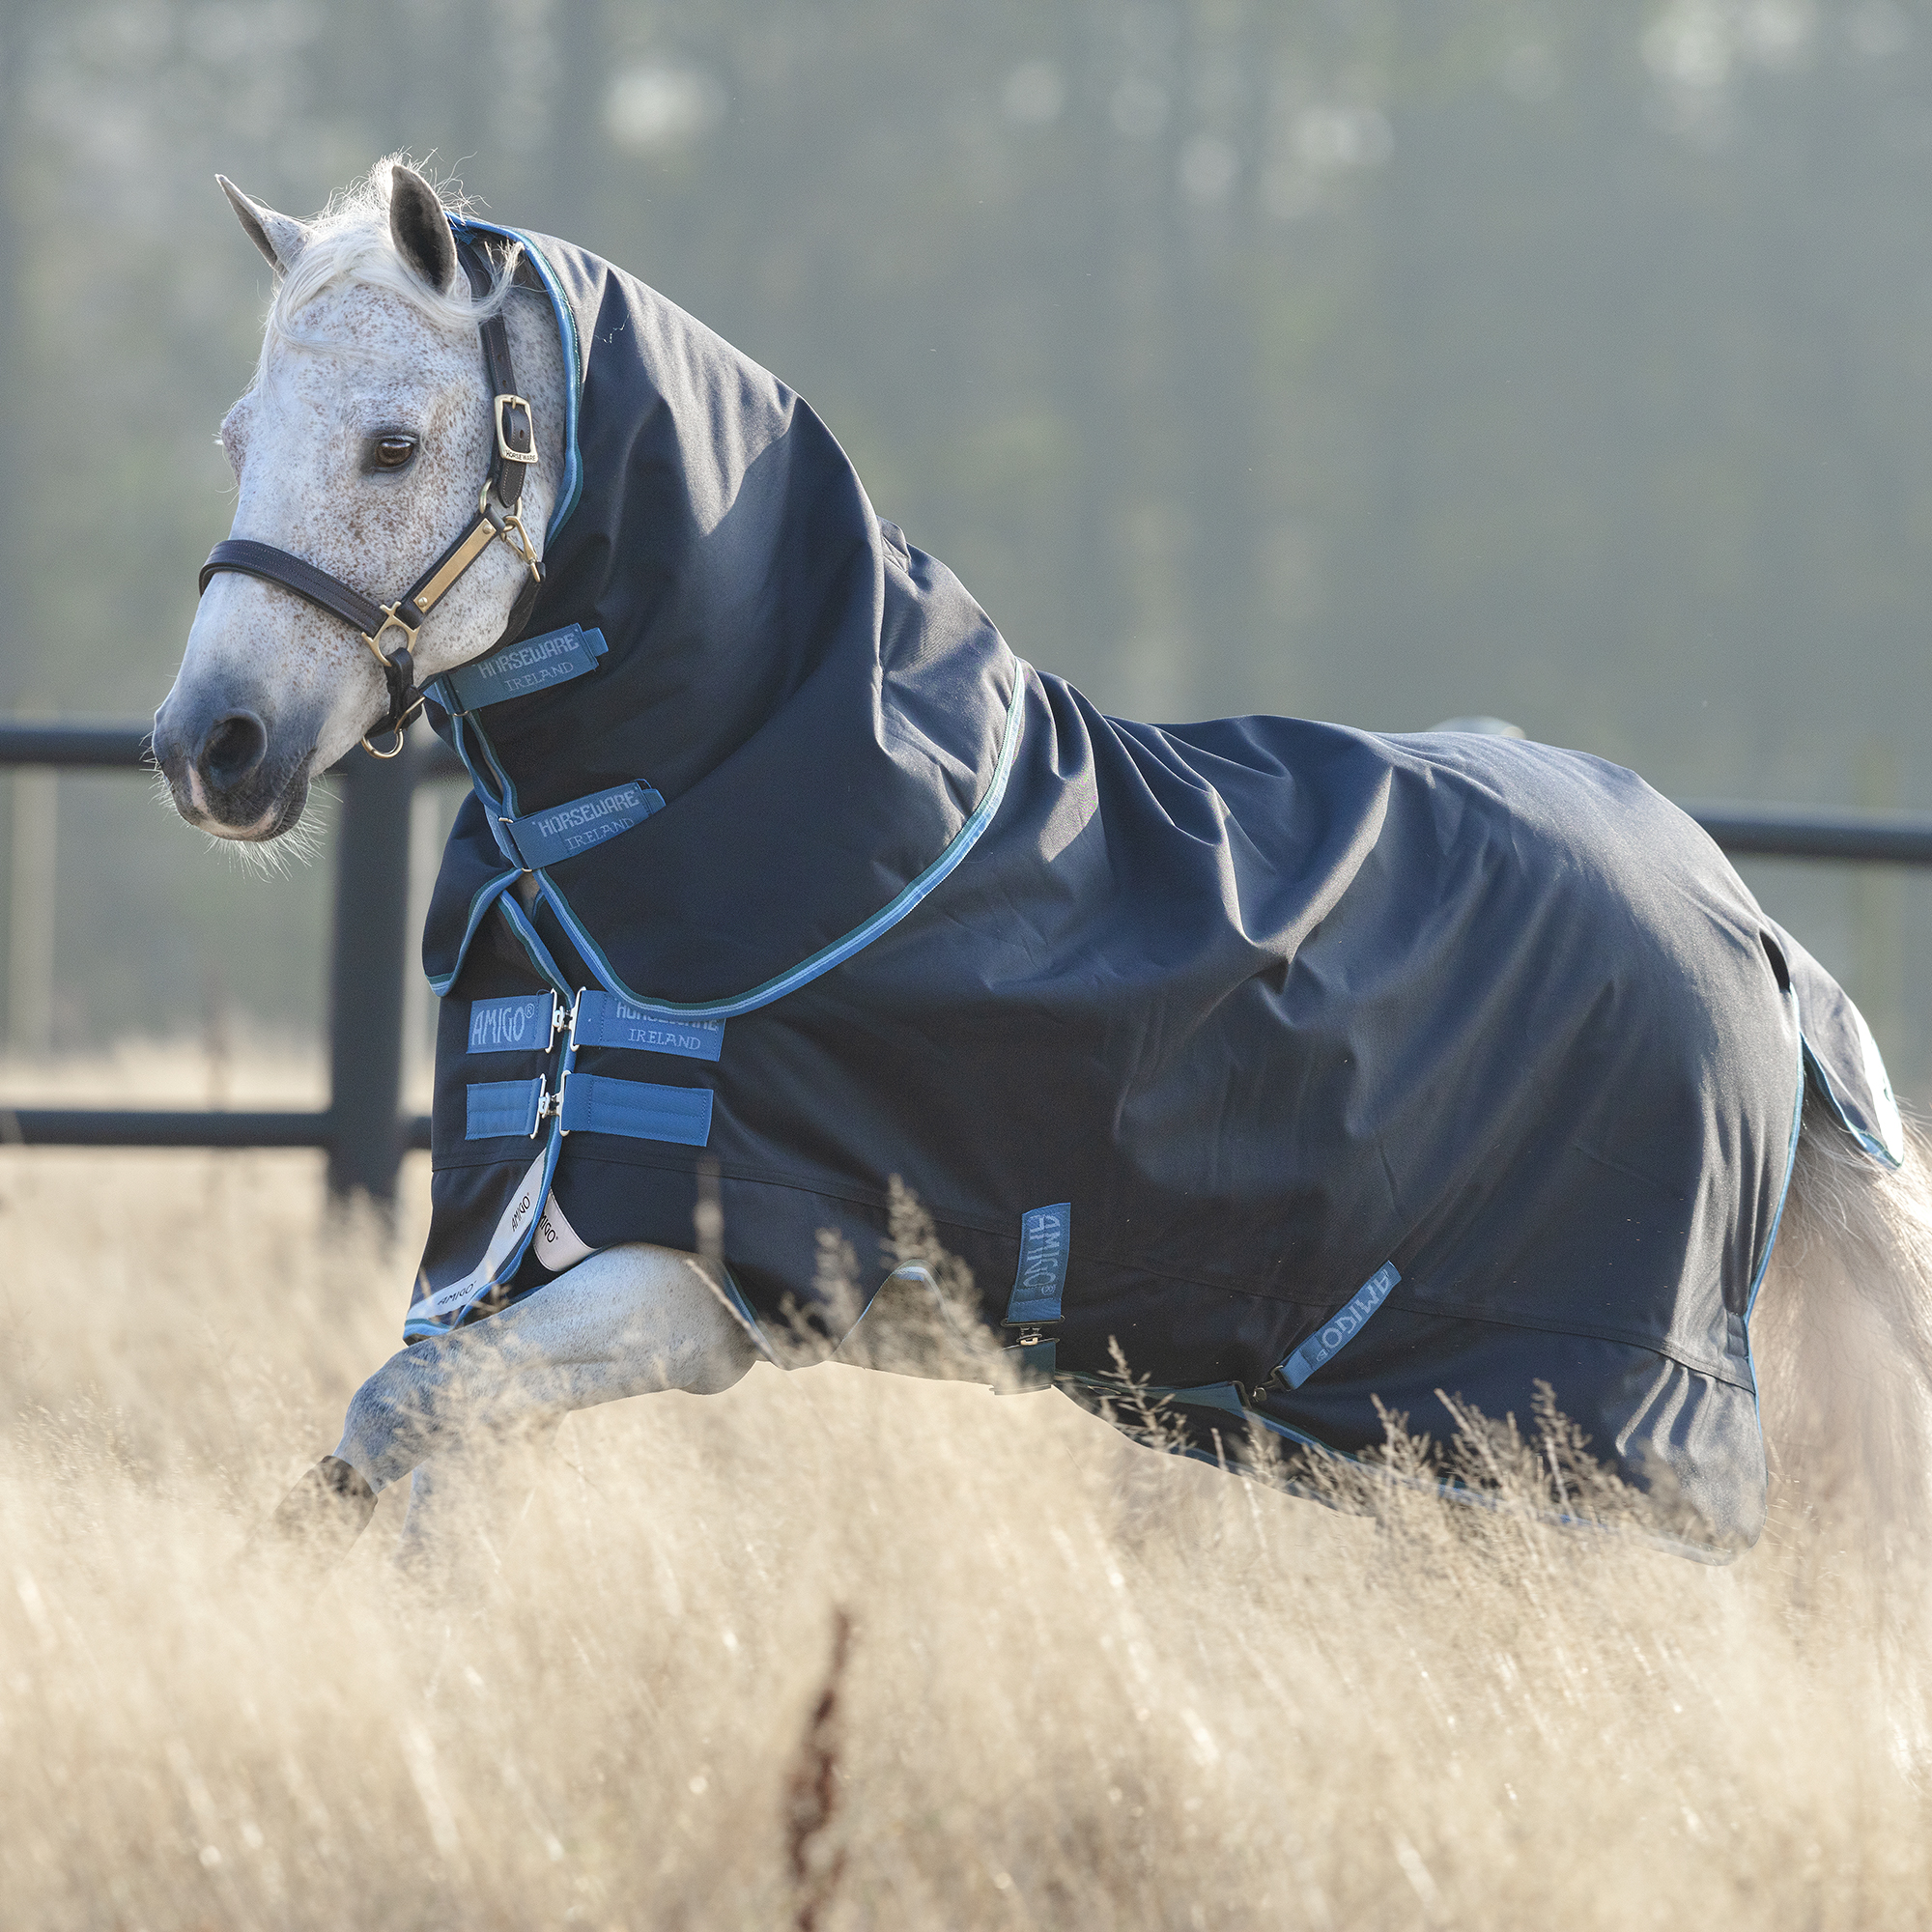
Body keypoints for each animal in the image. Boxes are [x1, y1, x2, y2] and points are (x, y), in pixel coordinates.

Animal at [153, 160, 1932, 1570]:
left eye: (395, 445)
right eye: (234, 438)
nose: (210, 746)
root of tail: (1753, 929)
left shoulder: (704, 1289)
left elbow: (396, 1420)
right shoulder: (503, 1249)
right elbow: (432, 1461)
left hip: (1568, 1435)